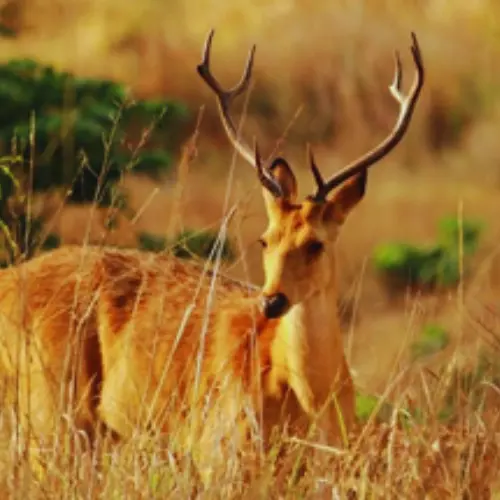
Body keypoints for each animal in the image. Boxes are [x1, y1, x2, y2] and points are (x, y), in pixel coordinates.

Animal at [0, 28, 424, 480]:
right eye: (265, 240)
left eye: (316, 243)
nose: (271, 301)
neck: (308, 398)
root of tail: (9, 281)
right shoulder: (220, 447)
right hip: (51, 406)